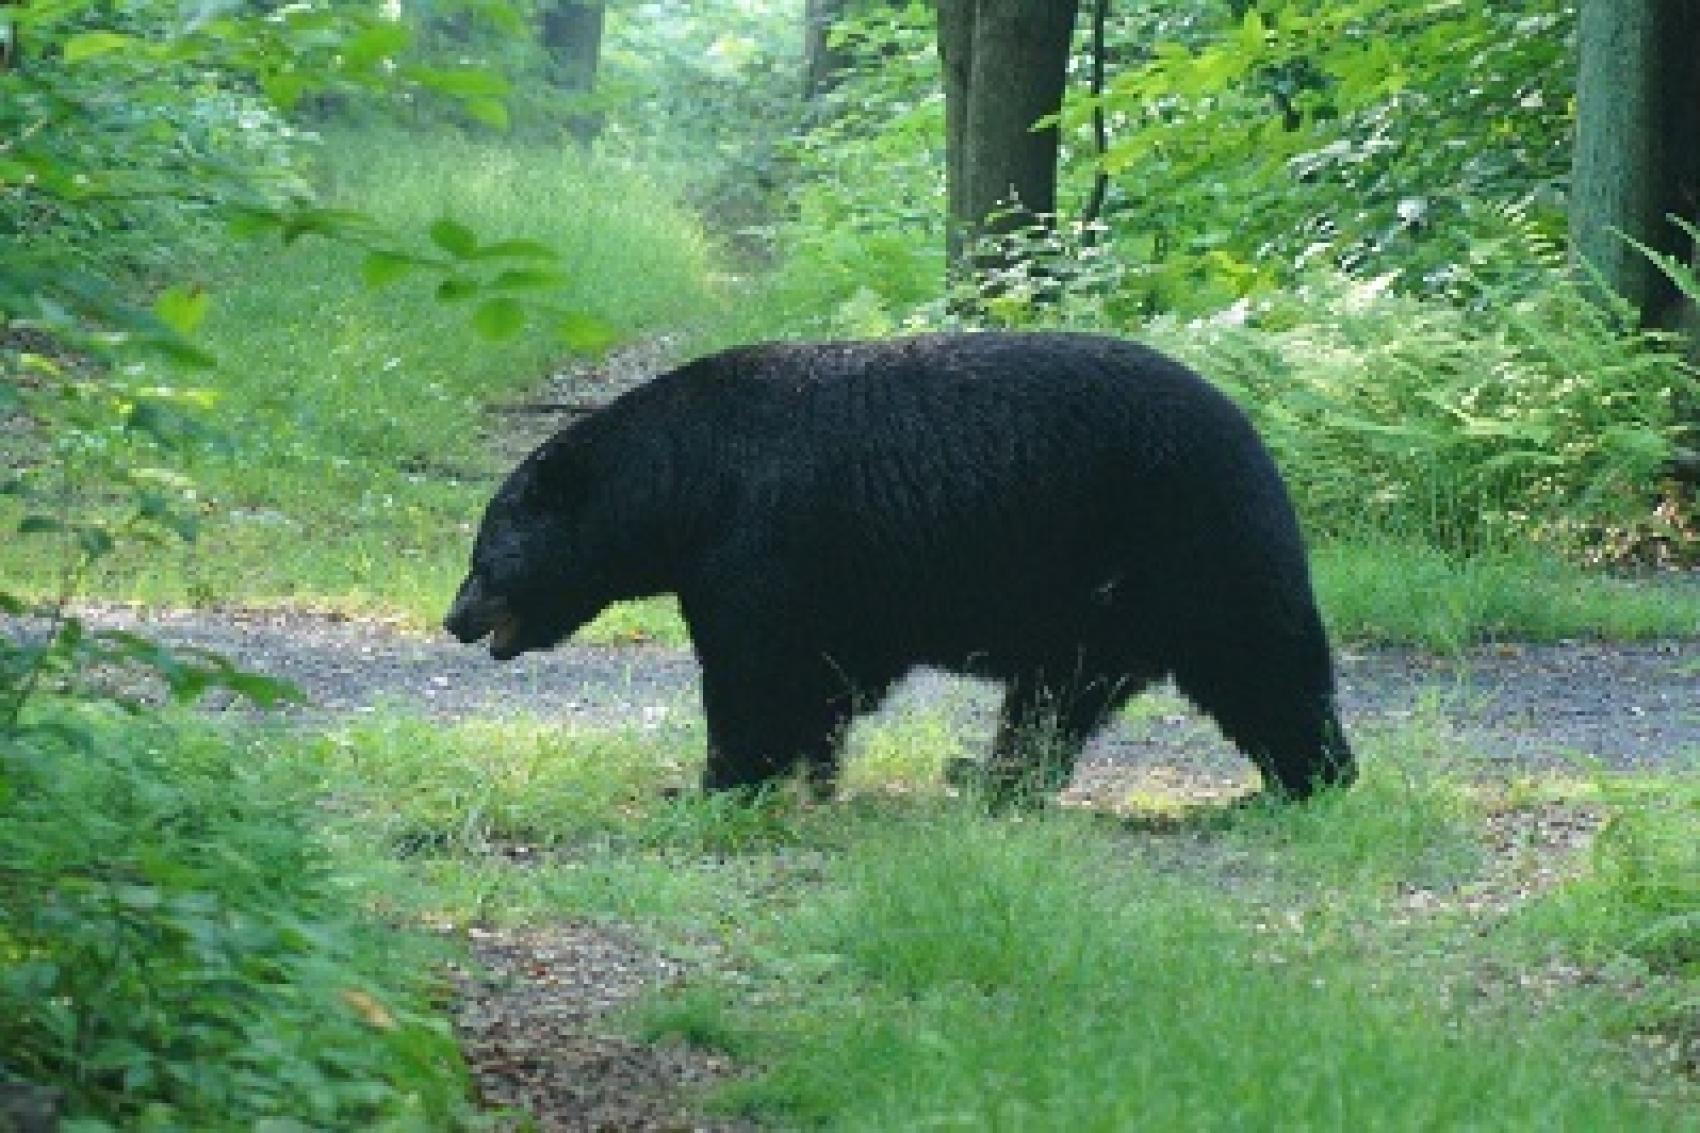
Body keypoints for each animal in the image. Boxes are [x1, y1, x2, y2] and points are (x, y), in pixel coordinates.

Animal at [444, 331, 1355, 803]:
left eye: (485, 556)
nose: (454, 619)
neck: (690, 483)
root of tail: (1257, 444)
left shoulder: (762, 546)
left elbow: (755, 672)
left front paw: (719, 779)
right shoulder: (829, 586)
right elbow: (824, 681)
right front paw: (809, 773)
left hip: (1191, 543)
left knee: (1264, 665)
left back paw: (1308, 778)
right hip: (1100, 606)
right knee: (1057, 700)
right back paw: (990, 777)